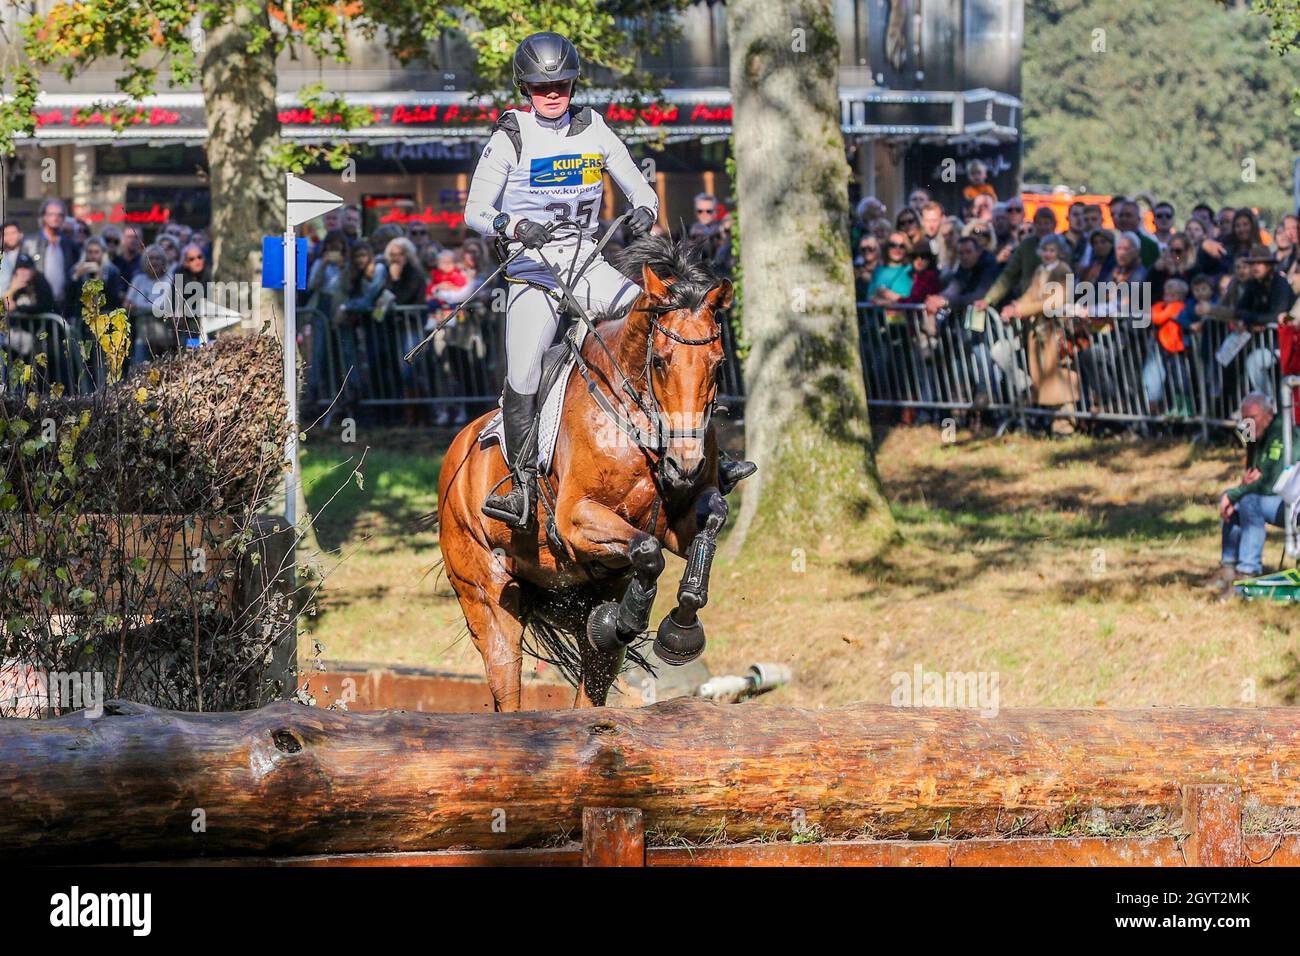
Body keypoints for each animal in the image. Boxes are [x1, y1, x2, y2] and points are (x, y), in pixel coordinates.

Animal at [439, 234, 733, 712]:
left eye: (719, 362)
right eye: (660, 361)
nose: (685, 464)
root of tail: (457, 453)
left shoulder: (678, 520)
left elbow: (709, 522)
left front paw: (680, 628)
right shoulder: (575, 517)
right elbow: (647, 549)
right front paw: (630, 620)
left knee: (591, 688)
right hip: (487, 599)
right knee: (507, 684)